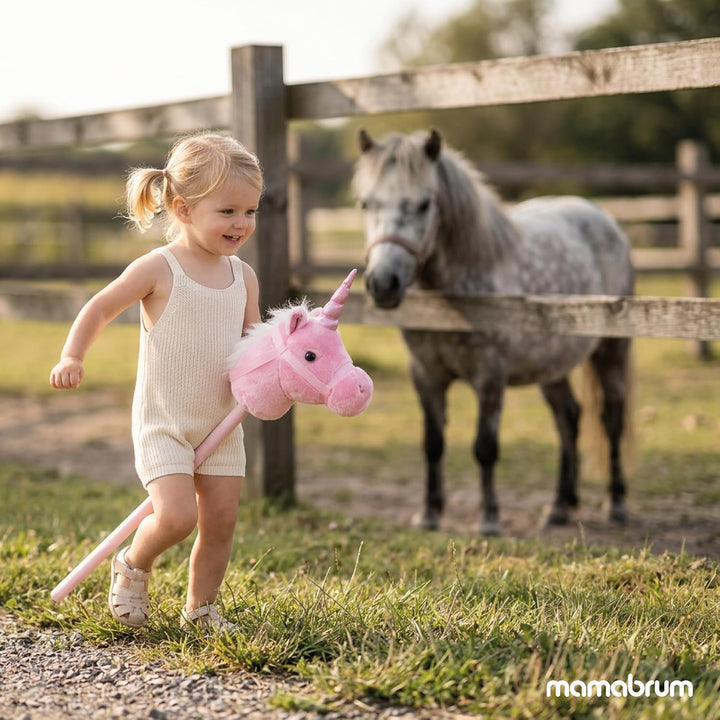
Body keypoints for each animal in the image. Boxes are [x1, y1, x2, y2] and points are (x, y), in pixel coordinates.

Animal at [353, 128, 634, 535]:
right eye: (365, 203)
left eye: (424, 204)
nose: (383, 283)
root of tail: (603, 218)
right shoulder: (426, 374)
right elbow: (433, 443)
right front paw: (429, 514)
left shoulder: (490, 376)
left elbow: (484, 447)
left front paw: (488, 519)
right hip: (552, 365)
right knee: (568, 418)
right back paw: (559, 507)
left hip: (612, 350)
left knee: (611, 420)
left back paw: (616, 503)